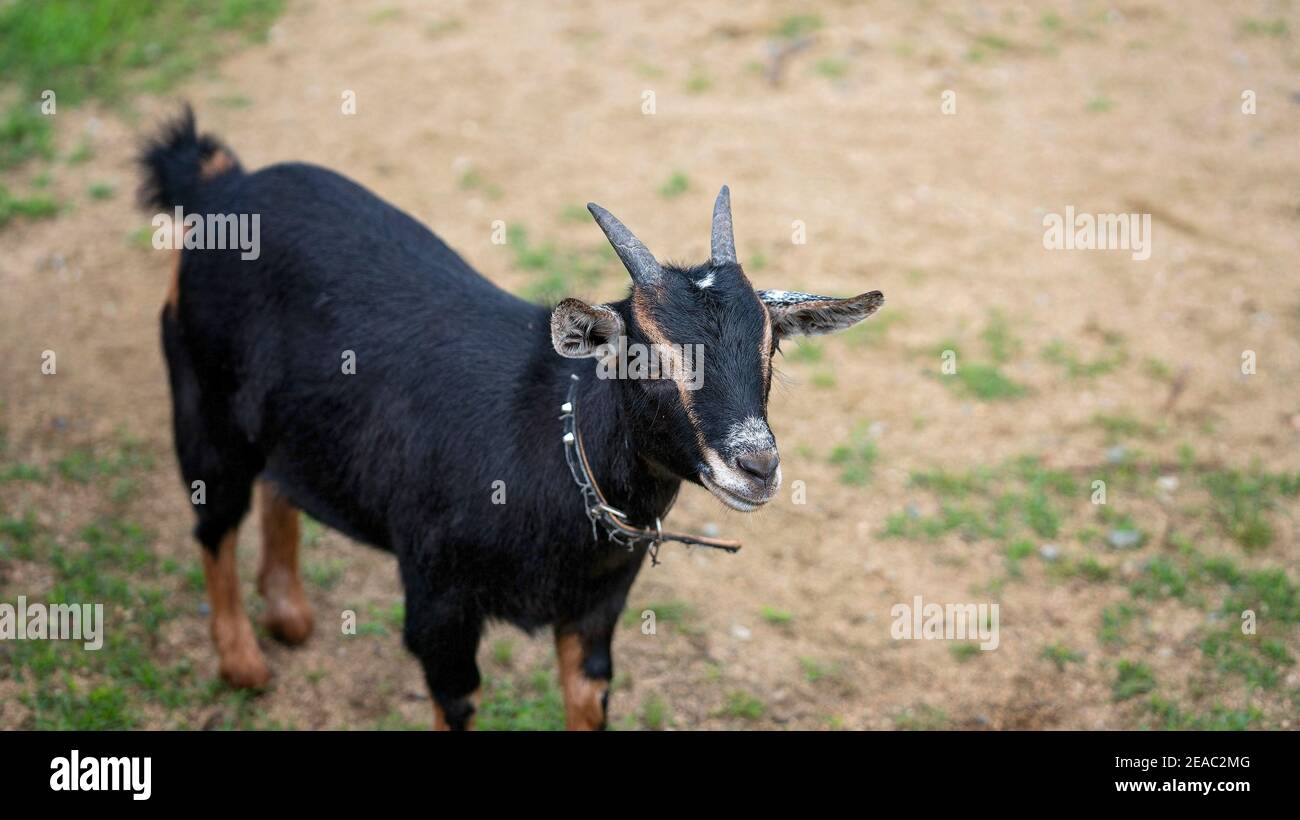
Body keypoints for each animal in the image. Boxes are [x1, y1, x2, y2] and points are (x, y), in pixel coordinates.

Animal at [142, 109, 883, 732]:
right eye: (642, 357)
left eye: (771, 346)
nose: (756, 465)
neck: (549, 447)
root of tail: (220, 187)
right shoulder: (438, 604)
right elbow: (456, 700)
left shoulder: (595, 609)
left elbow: (586, 697)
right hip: (201, 402)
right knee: (213, 520)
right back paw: (243, 662)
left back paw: (288, 612)